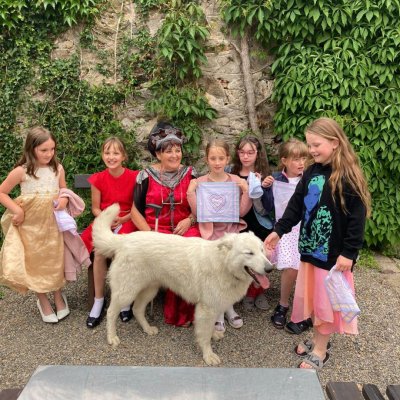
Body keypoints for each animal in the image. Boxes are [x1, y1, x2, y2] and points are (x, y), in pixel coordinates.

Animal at [93, 204, 273, 365]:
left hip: (149, 290)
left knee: (137, 309)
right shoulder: (206, 309)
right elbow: (204, 335)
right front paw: (208, 355)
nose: (270, 268)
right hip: (127, 292)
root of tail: (123, 240)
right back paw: (112, 337)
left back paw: (148, 329)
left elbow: (210, 328)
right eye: (249, 253)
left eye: (262, 250)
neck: (223, 264)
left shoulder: (213, 306)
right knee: (111, 312)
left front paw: (214, 335)